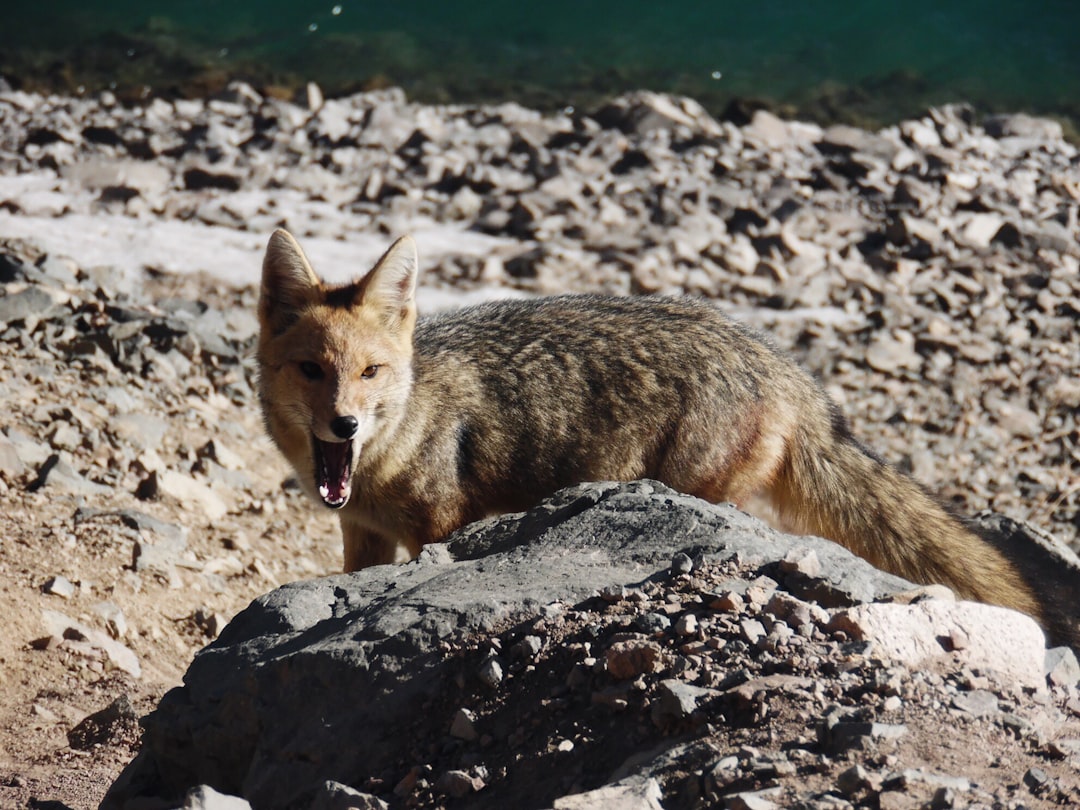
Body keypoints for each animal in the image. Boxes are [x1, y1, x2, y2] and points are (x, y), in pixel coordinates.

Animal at [257, 230, 1067, 648]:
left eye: (370, 373)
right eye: (312, 370)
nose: (345, 424)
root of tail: (782, 365)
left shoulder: (439, 526)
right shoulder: (362, 533)